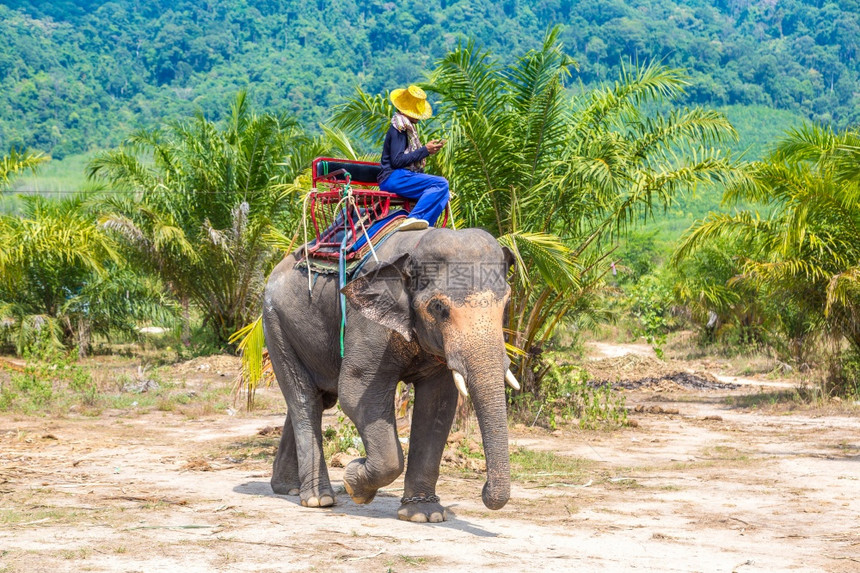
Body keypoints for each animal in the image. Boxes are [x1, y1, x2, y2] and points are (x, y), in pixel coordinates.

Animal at [262, 226, 516, 520]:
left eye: (506, 302)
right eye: (439, 308)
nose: (484, 489)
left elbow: (438, 404)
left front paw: (424, 514)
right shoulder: (367, 324)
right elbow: (356, 392)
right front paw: (354, 481)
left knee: (318, 398)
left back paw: (288, 488)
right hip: (275, 321)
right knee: (304, 399)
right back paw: (318, 499)